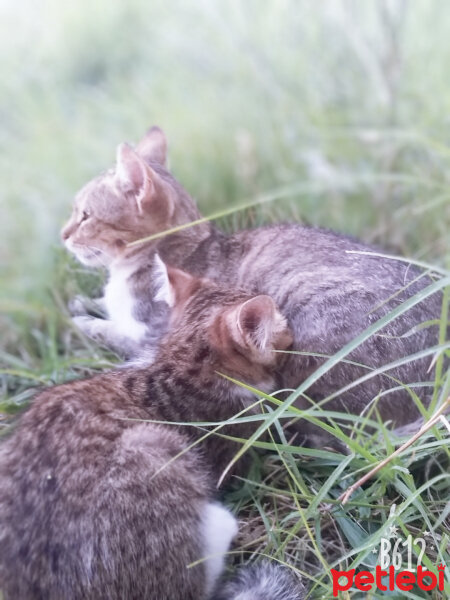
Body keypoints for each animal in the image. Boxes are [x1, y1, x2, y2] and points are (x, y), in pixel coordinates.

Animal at [61, 127, 444, 446]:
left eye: (85, 215)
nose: (63, 235)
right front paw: (82, 303)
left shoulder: (152, 335)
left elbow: (111, 331)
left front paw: (82, 321)